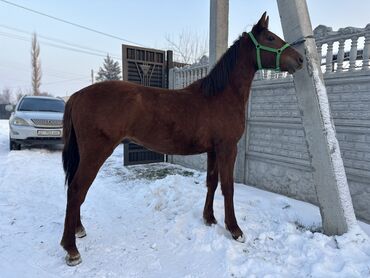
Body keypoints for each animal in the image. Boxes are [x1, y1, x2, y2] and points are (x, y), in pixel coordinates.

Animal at [60, 12, 304, 264]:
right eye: (270, 37)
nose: (300, 59)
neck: (219, 96)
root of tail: (78, 95)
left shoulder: (213, 150)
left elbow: (212, 182)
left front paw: (209, 218)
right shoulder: (228, 148)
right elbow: (228, 187)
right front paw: (235, 230)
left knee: (75, 190)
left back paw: (78, 230)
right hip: (96, 153)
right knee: (77, 189)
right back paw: (71, 248)